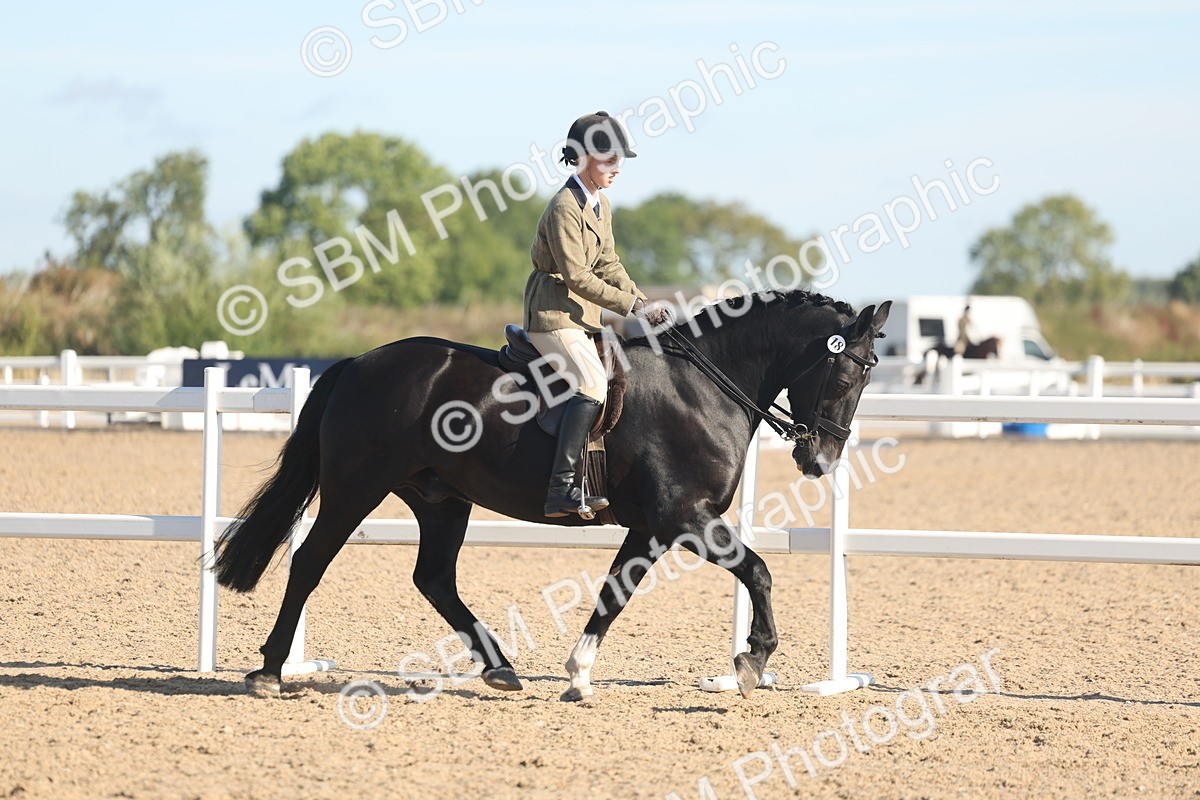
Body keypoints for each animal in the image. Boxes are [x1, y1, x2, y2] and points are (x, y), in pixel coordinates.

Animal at [214, 291, 892, 701]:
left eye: (868, 376)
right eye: (845, 374)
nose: (820, 460)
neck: (703, 387)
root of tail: (359, 363)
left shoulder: (651, 527)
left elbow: (615, 594)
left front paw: (578, 676)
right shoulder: (685, 517)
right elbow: (759, 571)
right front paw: (752, 662)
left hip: (441, 499)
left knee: (433, 578)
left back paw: (500, 667)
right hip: (356, 489)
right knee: (308, 563)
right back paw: (270, 670)